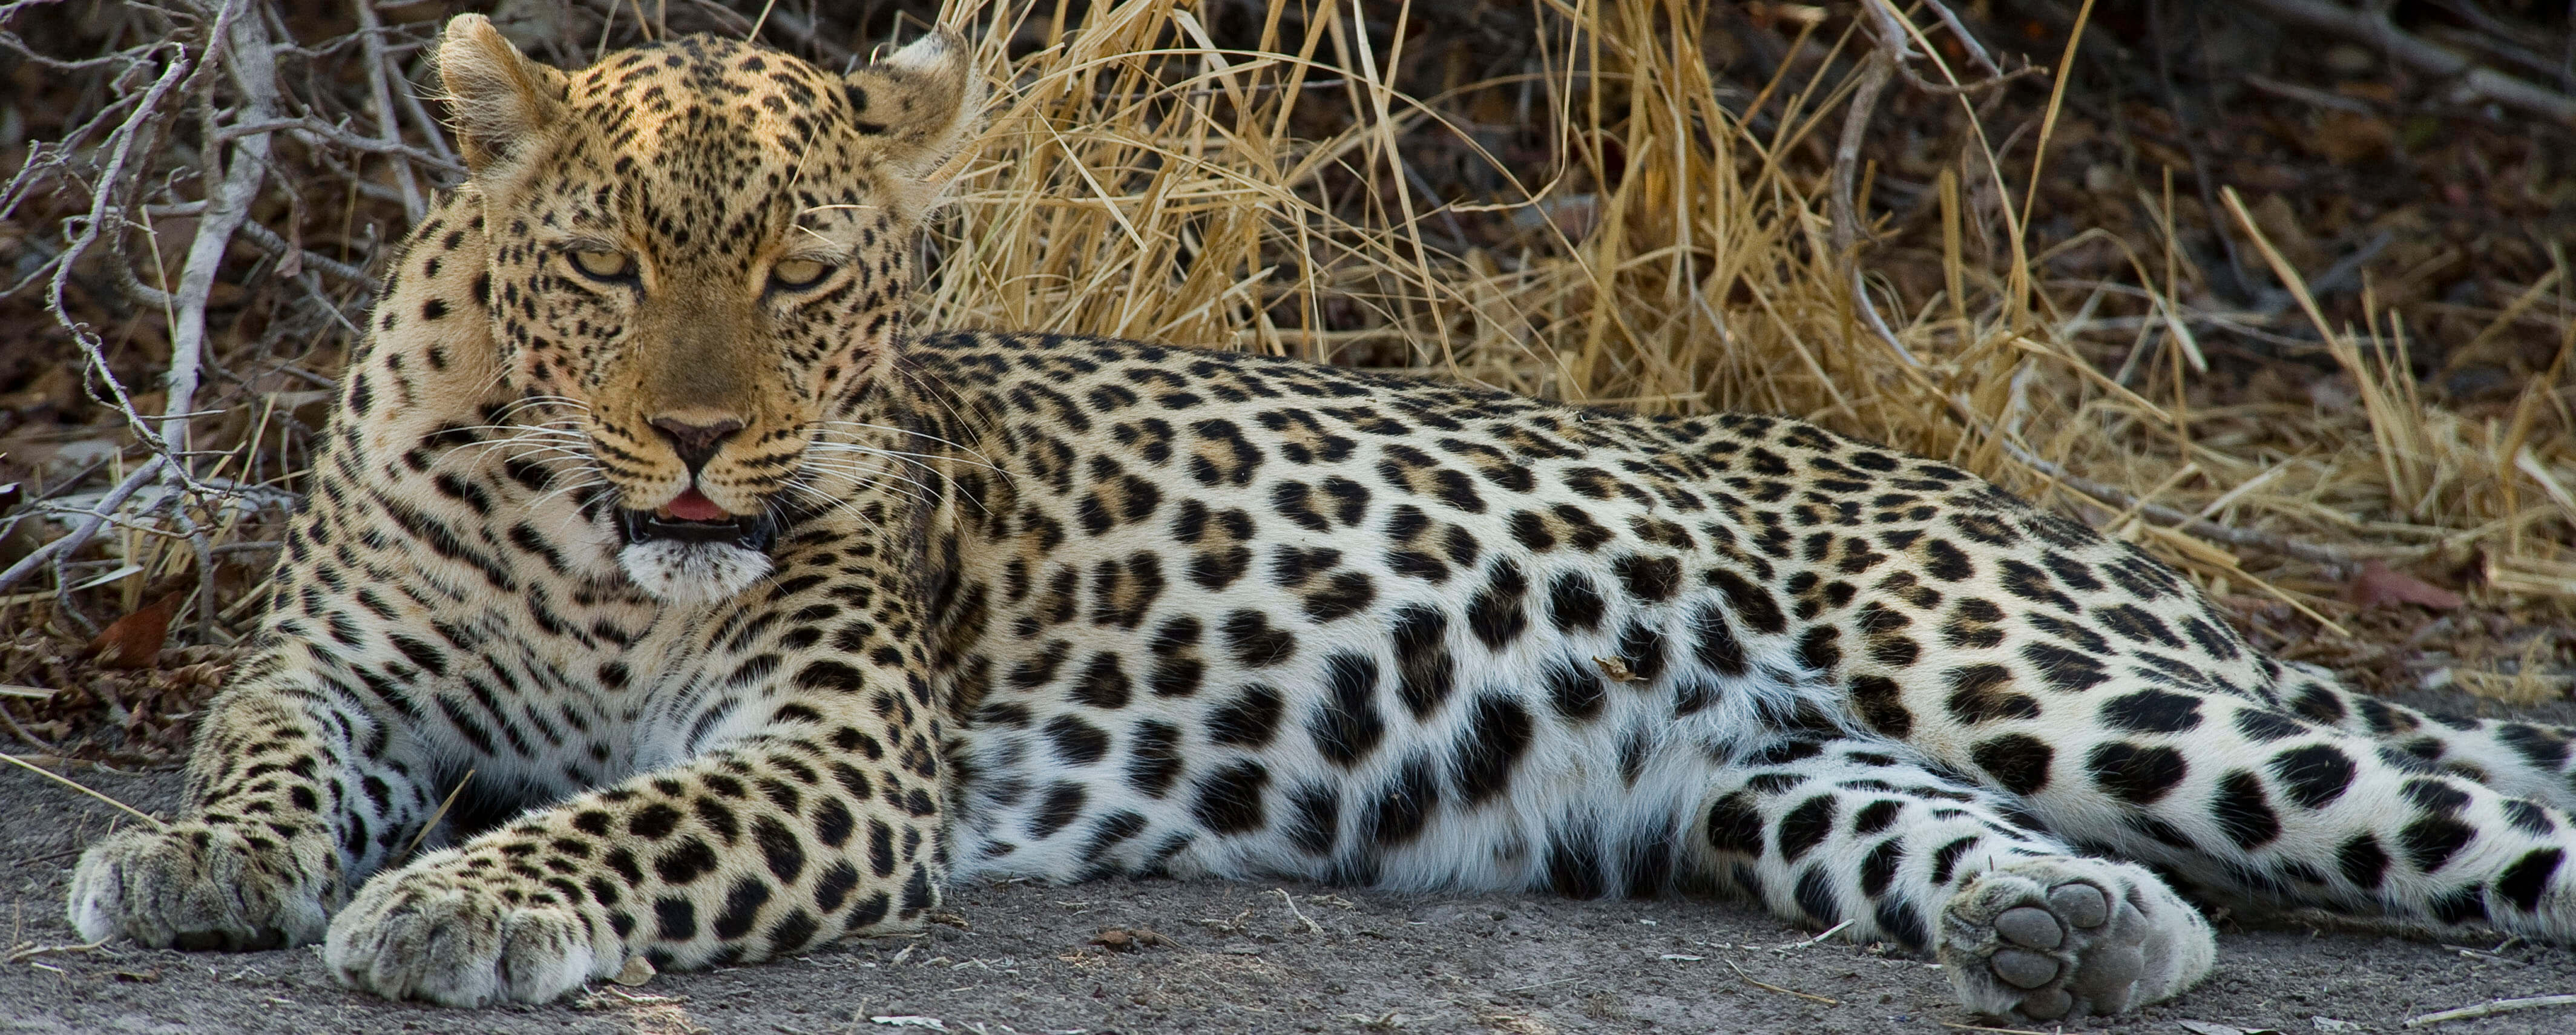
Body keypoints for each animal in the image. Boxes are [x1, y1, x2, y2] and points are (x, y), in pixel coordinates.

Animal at [55, 14, 2576, 1019]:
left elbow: (622, 820)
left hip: (2033, 675)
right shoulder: (332, 662)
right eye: (603, 264)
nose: (692, 446)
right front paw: (197, 863)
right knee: (2087, 871)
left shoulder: (837, 753)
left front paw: (464, 901)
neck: (584, 546)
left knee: (2453, 820)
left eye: (796, 274)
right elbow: (259, 751)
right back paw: (2057, 938)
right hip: (1786, 784)